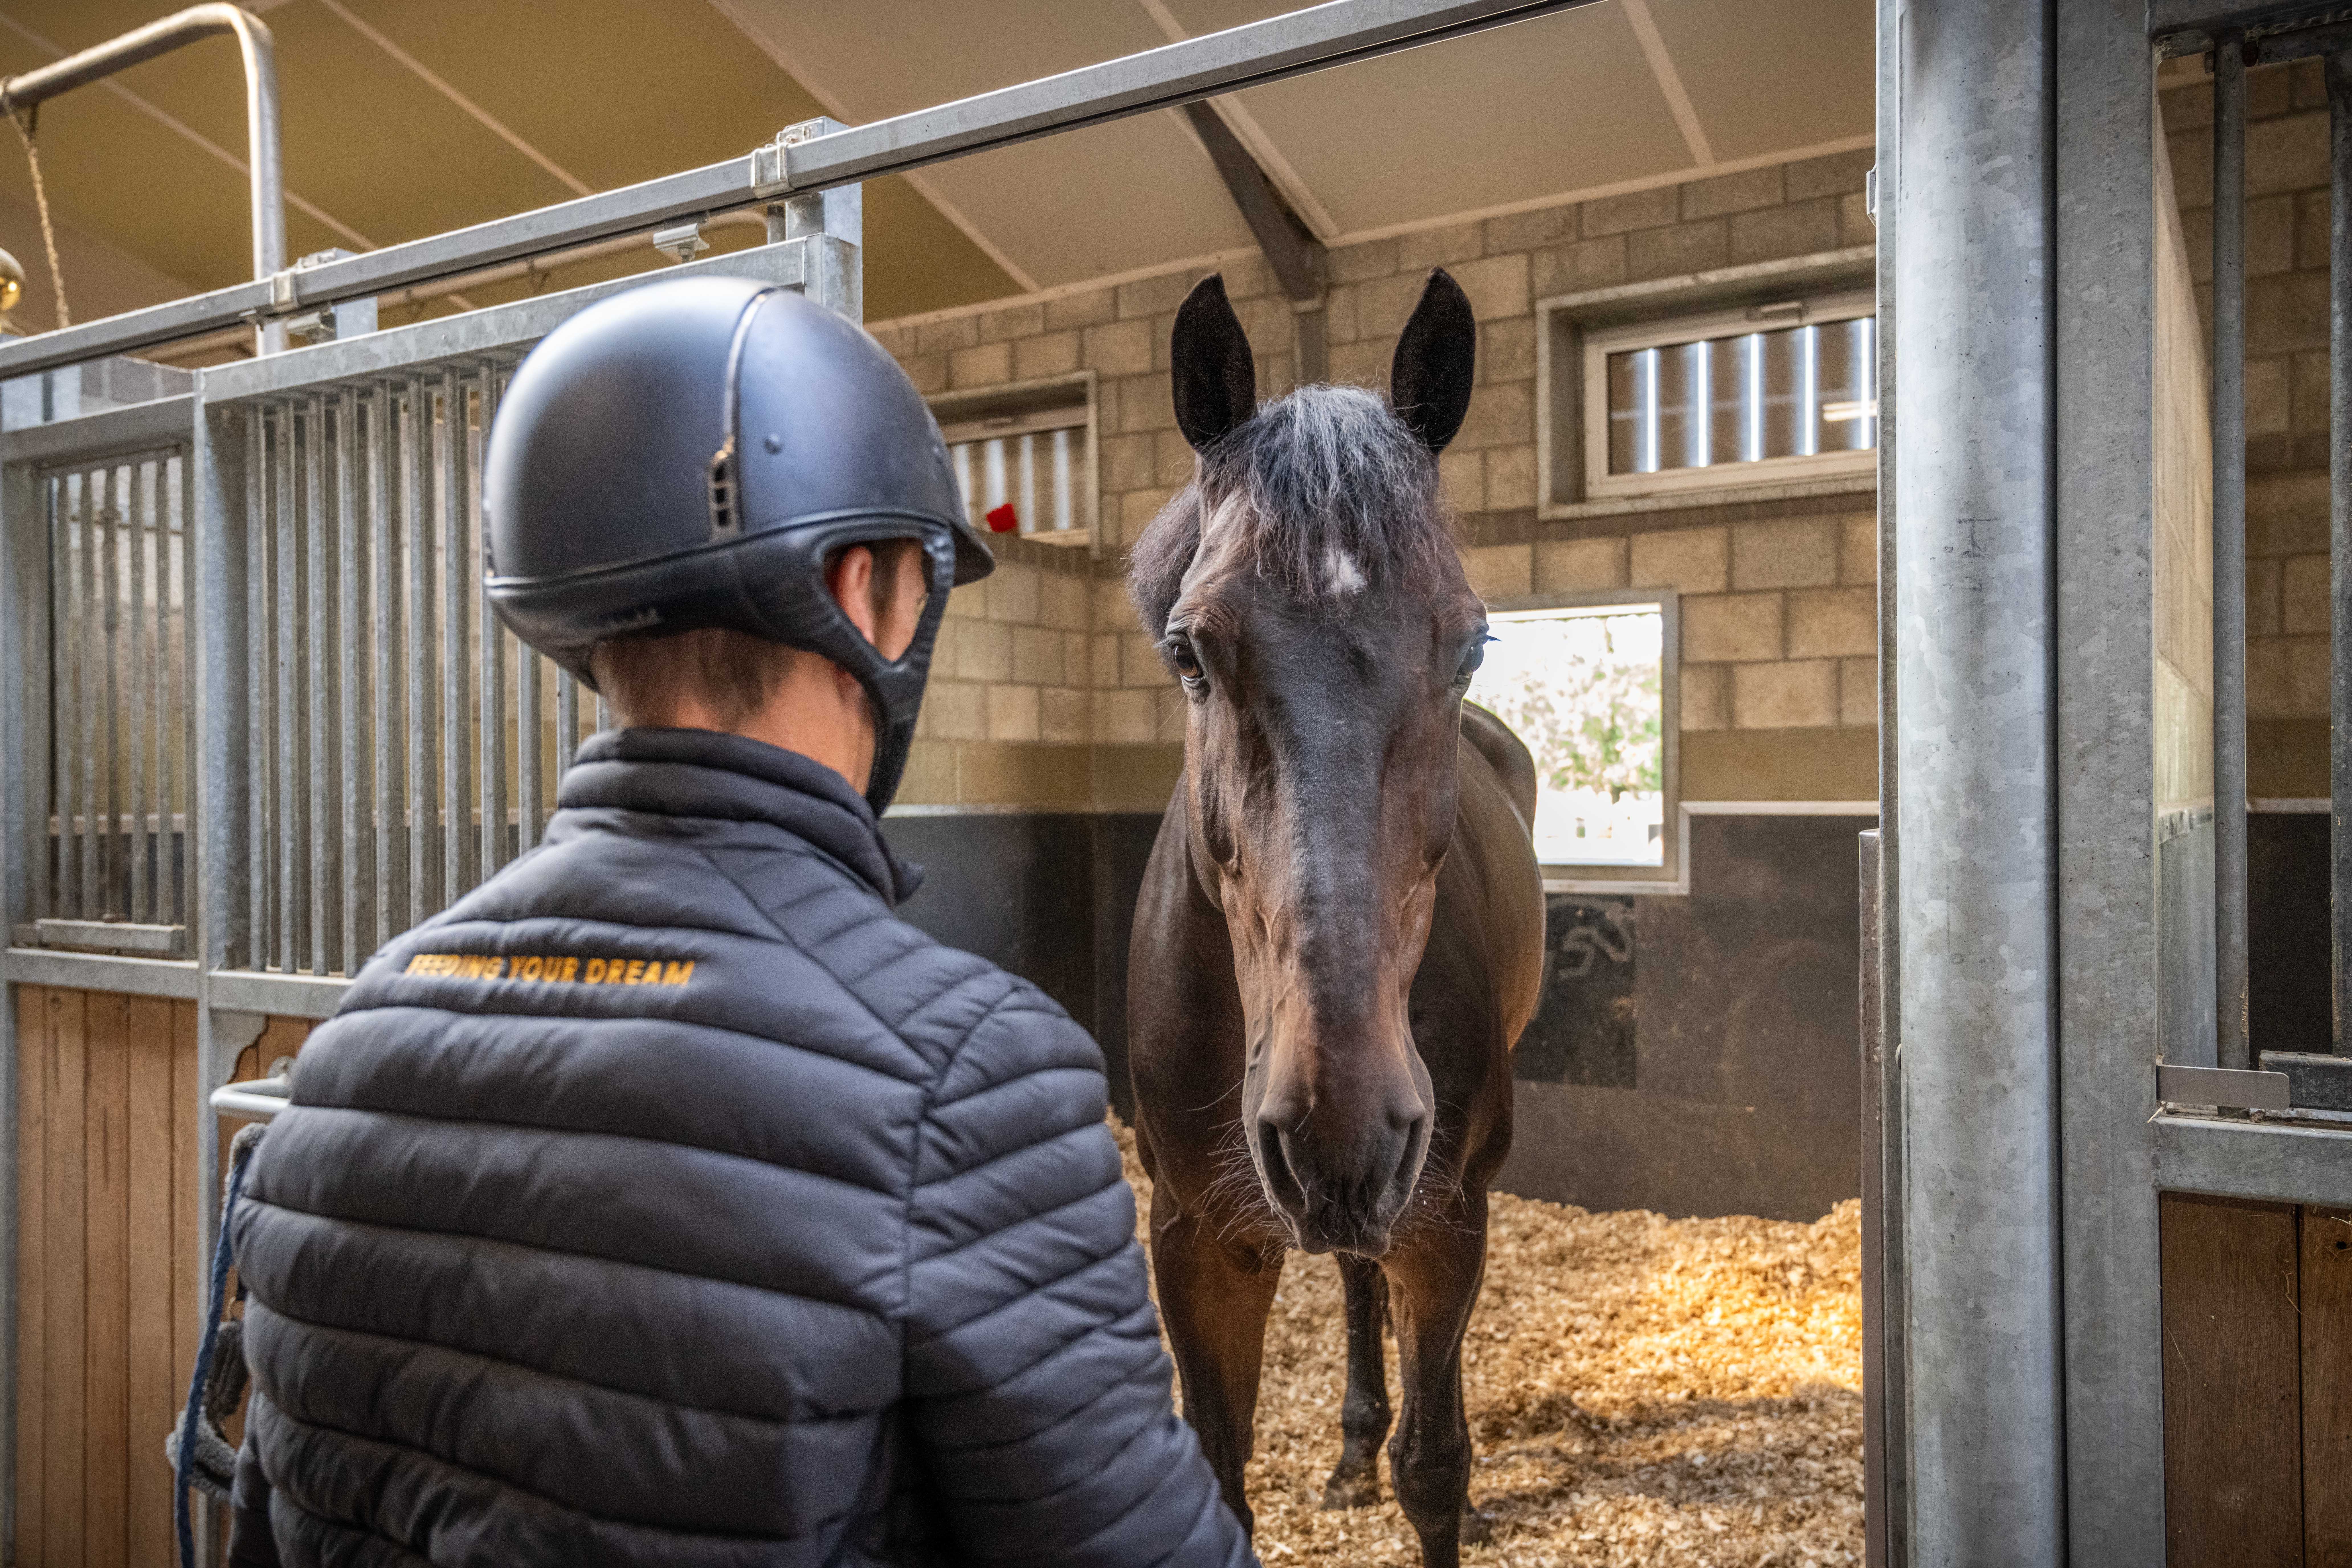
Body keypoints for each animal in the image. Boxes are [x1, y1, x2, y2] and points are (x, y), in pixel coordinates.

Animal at [1125, 268, 1547, 1568]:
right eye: (1190, 651)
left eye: (1469, 644)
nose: (1339, 1119)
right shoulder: (1198, 1240)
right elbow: (1221, 1477)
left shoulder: (1446, 1218)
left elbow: (1438, 1465)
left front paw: (1432, 1466)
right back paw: (1352, 1441)